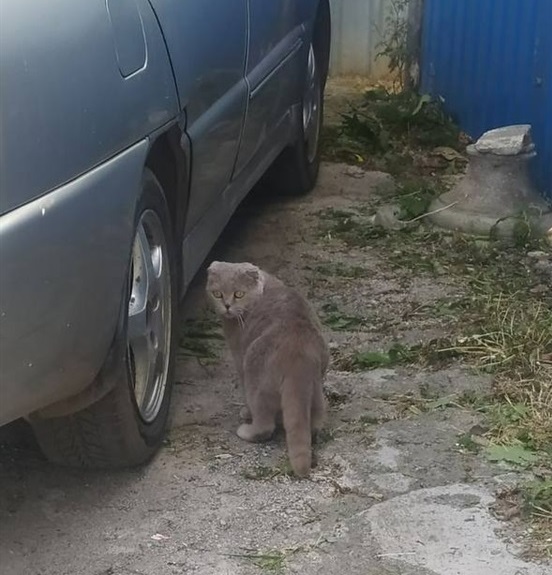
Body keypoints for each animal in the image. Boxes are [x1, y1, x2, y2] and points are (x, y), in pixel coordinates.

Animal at [206, 260, 328, 476]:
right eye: (217, 294)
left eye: (239, 294)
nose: (227, 306)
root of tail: (297, 350)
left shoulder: (239, 355)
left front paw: (245, 412)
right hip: (315, 386)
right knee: (314, 419)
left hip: (254, 376)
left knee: (264, 424)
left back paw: (246, 429)